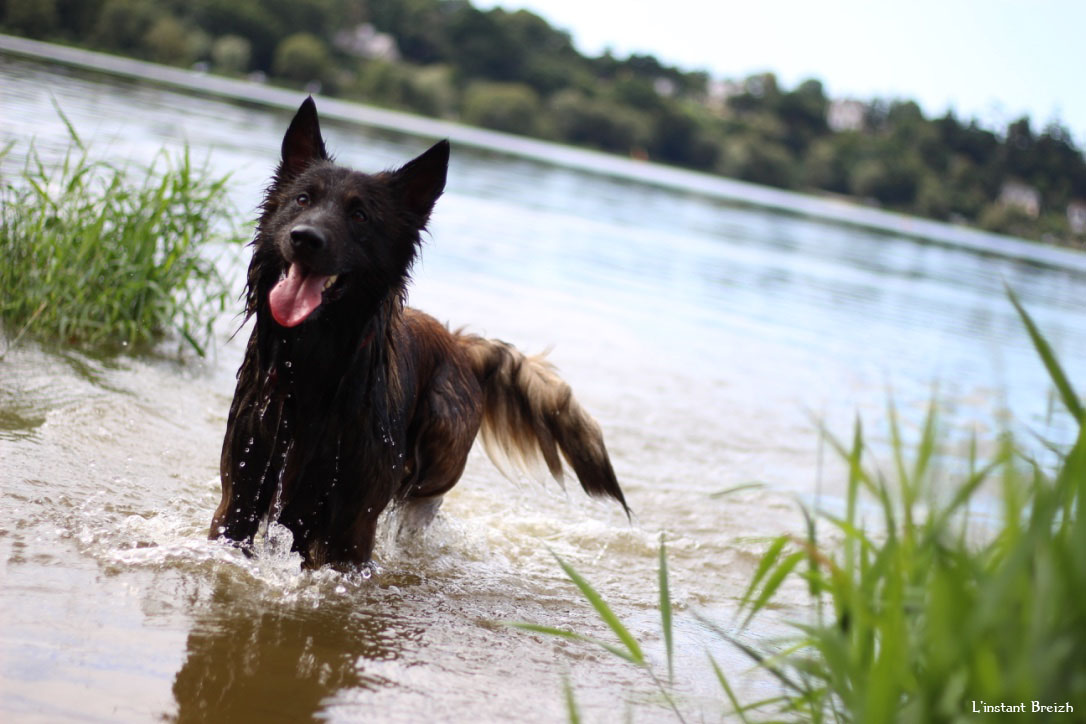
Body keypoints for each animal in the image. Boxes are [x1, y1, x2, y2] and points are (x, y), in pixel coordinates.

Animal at [208, 97, 629, 573]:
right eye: (302, 199)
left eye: (359, 215)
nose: (304, 238)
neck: (312, 369)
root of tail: (459, 342)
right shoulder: (238, 500)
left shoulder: (350, 531)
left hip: (438, 450)